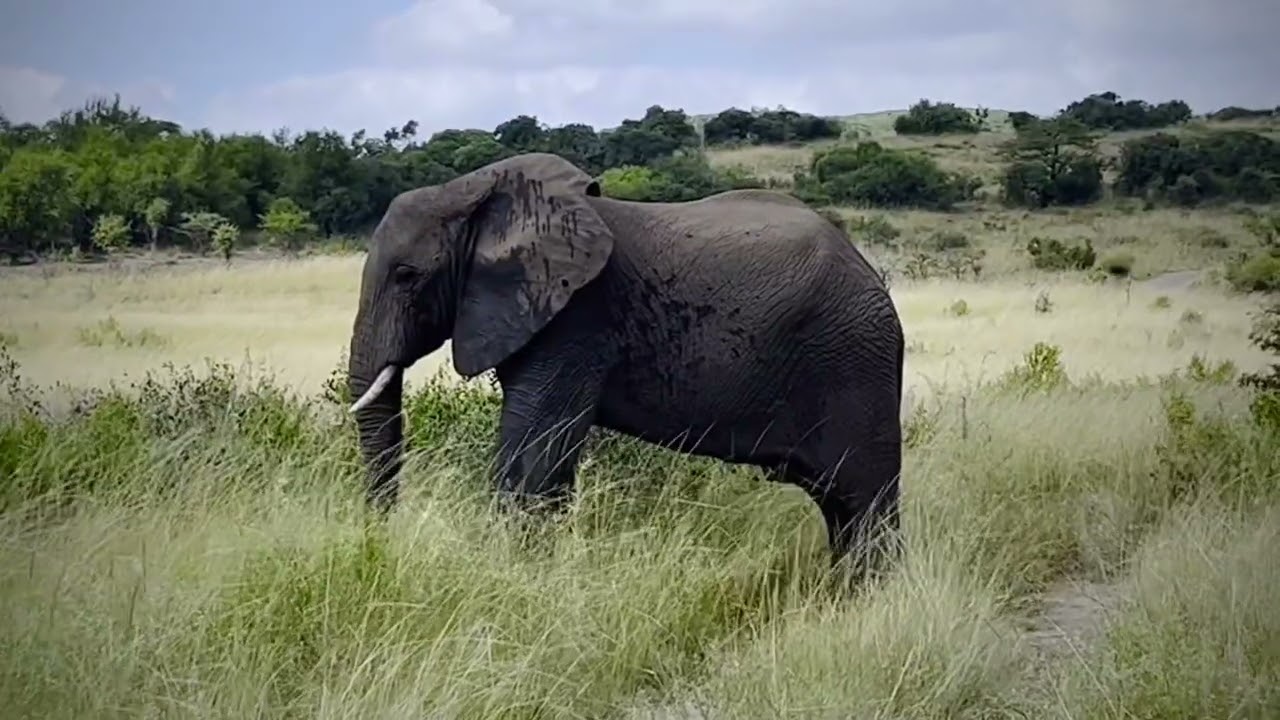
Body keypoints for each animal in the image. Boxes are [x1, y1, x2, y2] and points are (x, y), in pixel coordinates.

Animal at [346, 152, 906, 573]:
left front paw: (513, 571)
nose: (381, 541)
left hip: (857, 362)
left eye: (407, 275)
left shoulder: (577, 319)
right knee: (838, 507)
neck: (471, 193)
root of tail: (870, 273)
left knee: (866, 501)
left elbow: (535, 452)